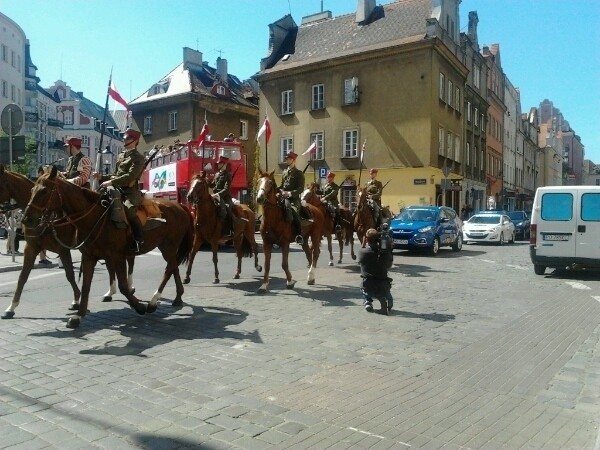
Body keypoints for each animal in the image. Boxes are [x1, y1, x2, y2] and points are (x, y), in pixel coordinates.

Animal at [0, 165, 135, 320]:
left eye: (44, 191)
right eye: (32, 190)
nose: (26, 220)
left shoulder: (63, 249)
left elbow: (69, 274)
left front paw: (77, 300)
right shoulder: (32, 248)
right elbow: (22, 277)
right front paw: (11, 308)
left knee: (129, 262)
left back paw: (130, 287)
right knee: (110, 267)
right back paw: (110, 292)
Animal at [21, 167, 192, 328]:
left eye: (44, 190)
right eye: (31, 190)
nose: (26, 219)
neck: (95, 218)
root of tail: (179, 205)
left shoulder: (118, 256)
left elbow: (123, 286)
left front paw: (139, 307)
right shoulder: (89, 257)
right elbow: (86, 286)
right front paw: (79, 316)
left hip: (169, 246)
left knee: (169, 269)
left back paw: (153, 302)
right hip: (166, 247)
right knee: (173, 267)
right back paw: (177, 297)